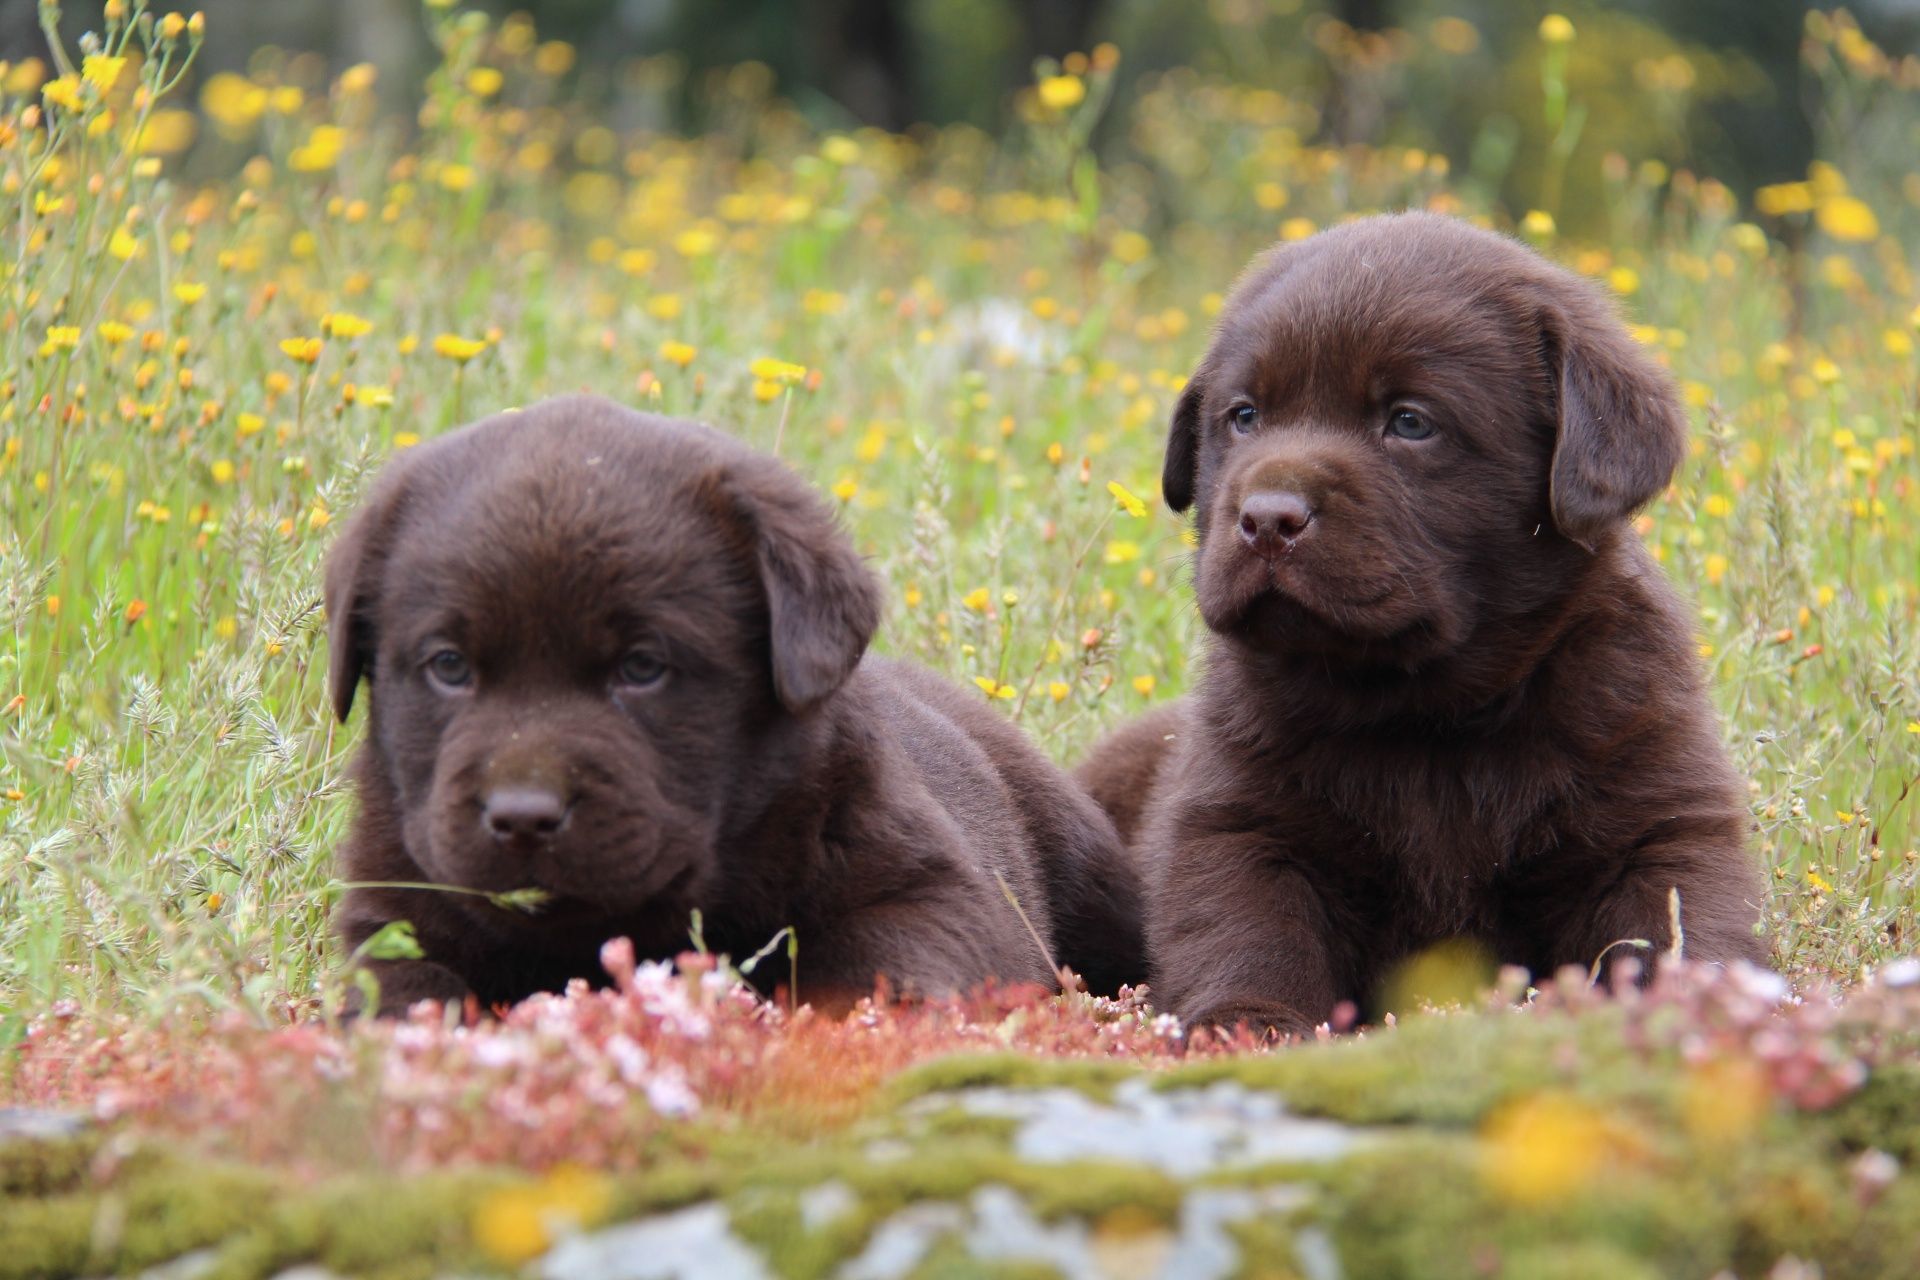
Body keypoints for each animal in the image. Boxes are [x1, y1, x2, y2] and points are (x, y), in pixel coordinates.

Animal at [328, 395, 1136, 1013]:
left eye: (644, 667)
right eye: (449, 666)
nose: (522, 815)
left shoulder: (941, 891)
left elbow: (874, 966)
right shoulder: (393, 905)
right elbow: (402, 988)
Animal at [1082, 214, 1766, 1036]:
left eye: (1410, 423)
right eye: (1244, 417)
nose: (1267, 518)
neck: (1427, 709)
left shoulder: (1654, 813)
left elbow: (1675, 920)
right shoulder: (1239, 816)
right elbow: (1245, 923)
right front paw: (1247, 1023)